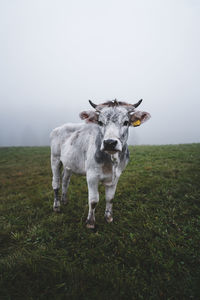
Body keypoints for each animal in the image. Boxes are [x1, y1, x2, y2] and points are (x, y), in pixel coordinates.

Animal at [50, 99, 150, 229]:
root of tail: (60, 127)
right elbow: (93, 200)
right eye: (100, 122)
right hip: (55, 159)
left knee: (65, 180)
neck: (111, 162)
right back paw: (57, 206)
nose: (110, 143)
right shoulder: (91, 175)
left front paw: (108, 217)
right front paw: (90, 222)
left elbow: (110, 198)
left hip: (69, 163)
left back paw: (65, 200)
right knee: (56, 182)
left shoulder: (116, 176)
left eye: (126, 122)